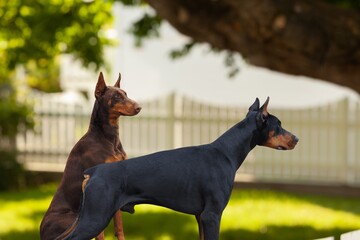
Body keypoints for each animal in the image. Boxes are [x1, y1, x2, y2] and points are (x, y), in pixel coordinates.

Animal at [39, 72, 141, 239]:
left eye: (126, 94)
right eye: (117, 96)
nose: (139, 107)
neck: (109, 138)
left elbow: (119, 226)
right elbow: (99, 233)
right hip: (71, 218)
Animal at [63, 97, 296, 240]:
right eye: (278, 125)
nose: (297, 139)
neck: (226, 152)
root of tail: (93, 172)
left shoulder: (200, 216)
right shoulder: (212, 215)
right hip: (95, 218)